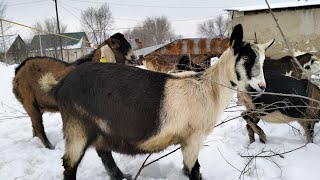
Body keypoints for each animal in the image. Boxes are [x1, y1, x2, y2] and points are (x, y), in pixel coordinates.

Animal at [38, 24, 274, 180]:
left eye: (263, 60)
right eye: (246, 58)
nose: (261, 87)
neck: (209, 88)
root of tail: (60, 85)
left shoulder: (187, 141)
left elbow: (188, 169)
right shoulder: (193, 138)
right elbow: (194, 170)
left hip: (99, 128)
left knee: (103, 152)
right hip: (77, 125)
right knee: (69, 164)